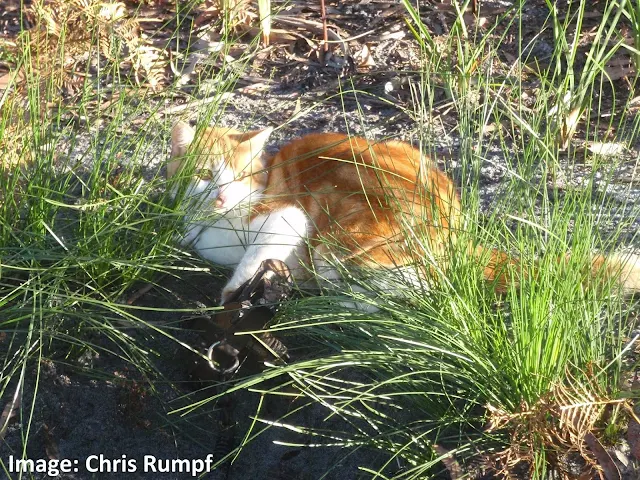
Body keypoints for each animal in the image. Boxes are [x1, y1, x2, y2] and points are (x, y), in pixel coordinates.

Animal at [166, 122, 640, 306]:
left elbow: (256, 254)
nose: (222, 197)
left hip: (344, 243)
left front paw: (236, 290)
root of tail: (458, 235)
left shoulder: (288, 217)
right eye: (206, 175)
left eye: (240, 177)